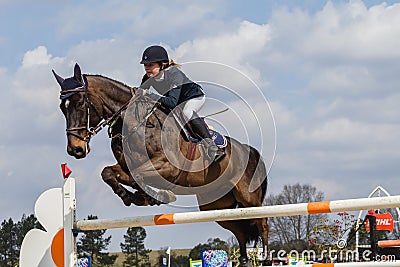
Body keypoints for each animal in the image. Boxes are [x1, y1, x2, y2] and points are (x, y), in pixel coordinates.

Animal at [50, 63, 268, 266]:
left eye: (80, 103)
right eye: (62, 108)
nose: (75, 149)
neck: (134, 123)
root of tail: (249, 150)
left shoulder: (168, 167)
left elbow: (138, 175)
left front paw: (155, 196)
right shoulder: (125, 167)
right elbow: (108, 173)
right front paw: (134, 196)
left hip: (248, 198)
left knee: (262, 221)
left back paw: (265, 257)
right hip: (216, 205)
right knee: (240, 230)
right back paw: (245, 260)